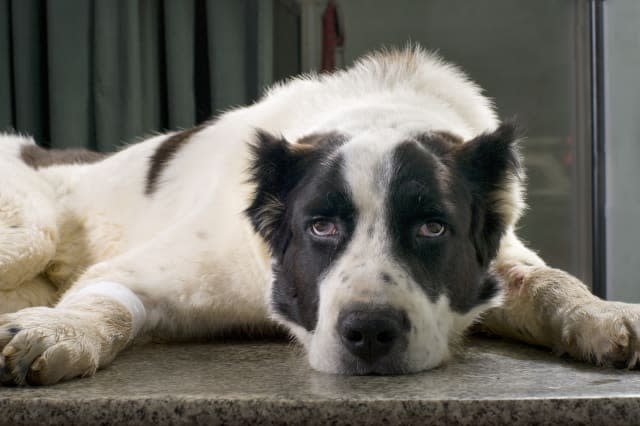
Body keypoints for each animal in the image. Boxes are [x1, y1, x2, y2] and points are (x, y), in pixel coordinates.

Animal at [1, 47, 640, 386]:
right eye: (321, 227)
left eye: (432, 228)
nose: (371, 331)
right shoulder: (144, 273)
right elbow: (105, 302)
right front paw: (56, 331)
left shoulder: (498, 265)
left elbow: (550, 280)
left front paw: (603, 312)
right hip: (30, 234)